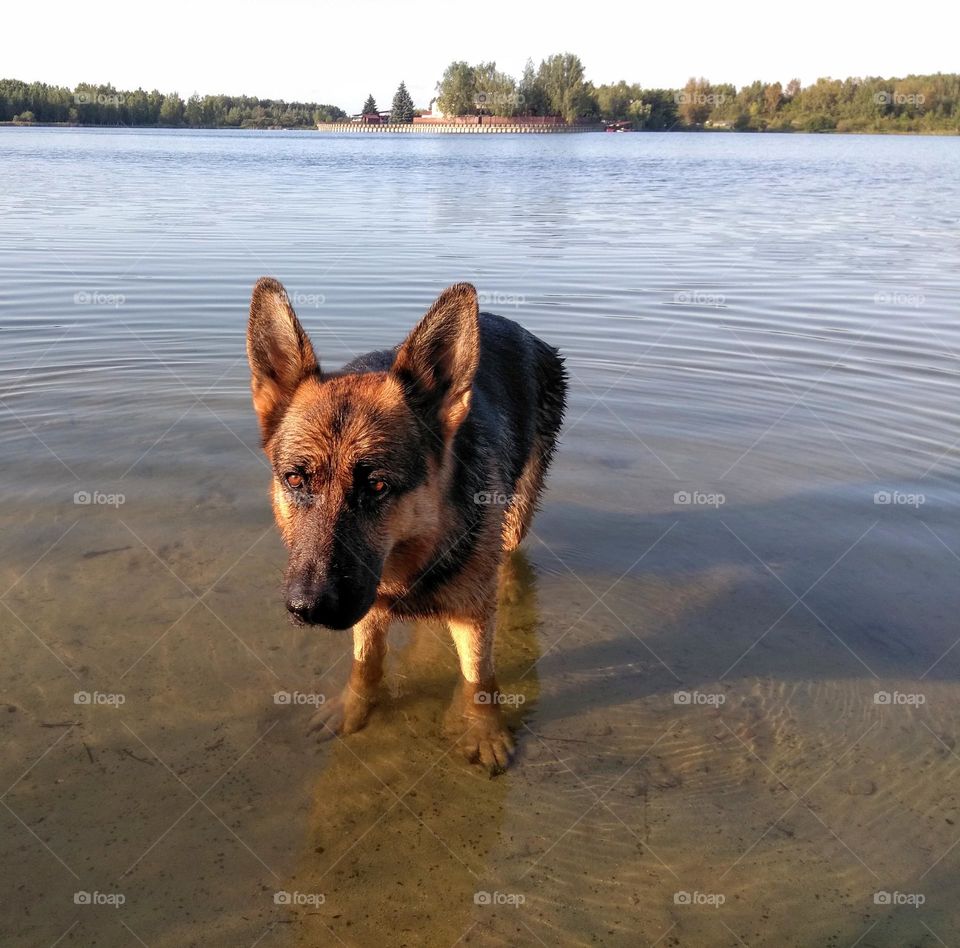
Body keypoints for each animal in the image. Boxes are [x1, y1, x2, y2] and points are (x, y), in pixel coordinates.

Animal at [244, 280, 568, 772]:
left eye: (377, 485)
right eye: (296, 479)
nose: (308, 608)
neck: (415, 548)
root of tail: (511, 324)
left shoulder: (473, 613)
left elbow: (480, 678)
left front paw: (484, 731)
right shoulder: (370, 606)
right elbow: (367, 664)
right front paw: (353, 708)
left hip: (517, 510)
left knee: (510, 547)